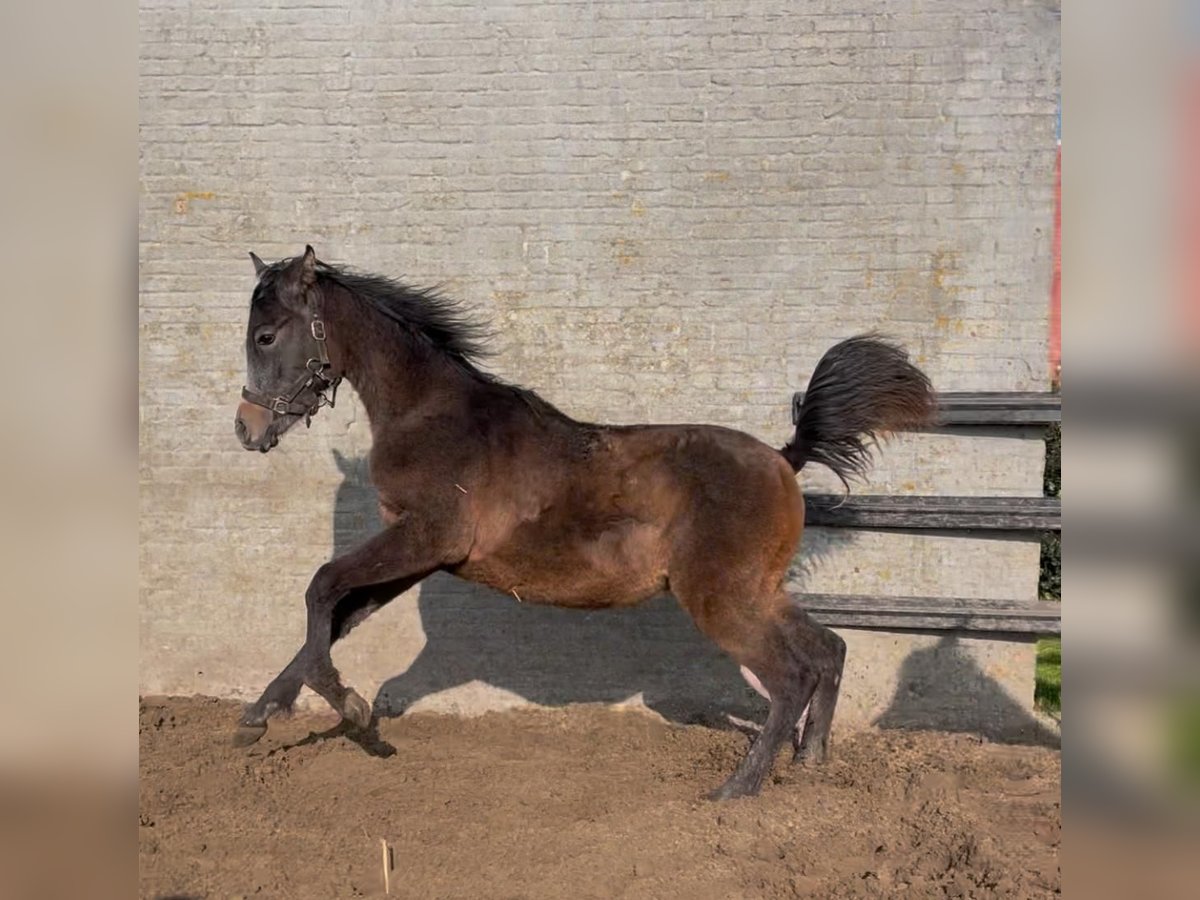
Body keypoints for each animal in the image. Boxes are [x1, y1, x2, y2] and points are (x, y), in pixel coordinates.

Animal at [229, 243, 931, 801]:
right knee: (828, 651)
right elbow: (338, 618)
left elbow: (322, 586)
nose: (247, 428)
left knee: (790, 676)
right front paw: (258, 717)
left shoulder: (423, 537)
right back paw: (811, 760)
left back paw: (736, 788)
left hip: (722, 598)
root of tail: (785, 458)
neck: (432, 416)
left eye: (265, 336)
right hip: (759, 592)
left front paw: (347, 706)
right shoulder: (422, 554)